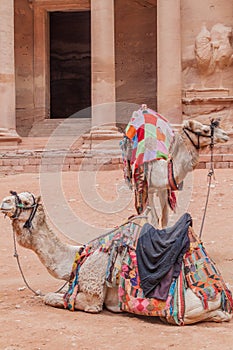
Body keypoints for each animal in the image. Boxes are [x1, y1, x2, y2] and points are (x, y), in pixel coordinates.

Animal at [0, 191, 232, 326]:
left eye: (25, 200)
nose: (4, 201)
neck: (78, 256)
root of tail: (221, 293)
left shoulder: (92, 295)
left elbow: (53, 298)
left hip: (187, 307)